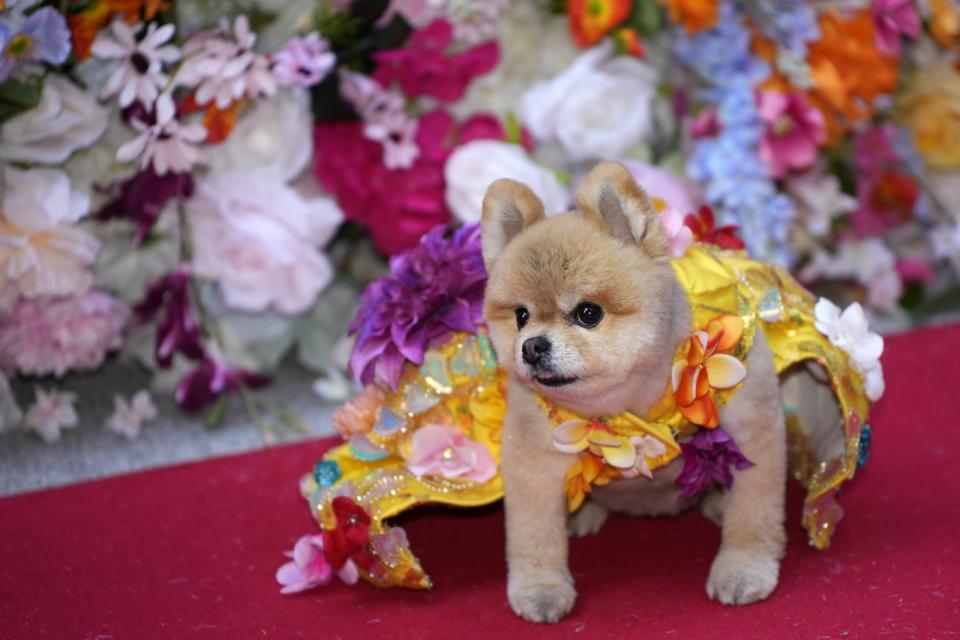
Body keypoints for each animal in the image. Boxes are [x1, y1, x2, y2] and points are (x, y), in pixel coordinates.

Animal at [480, 161, 840, 624]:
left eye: (588, 313)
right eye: (521, 316)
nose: (531, 347)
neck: (627, 406)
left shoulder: (753, 432)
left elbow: (753, 514)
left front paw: (744, 568)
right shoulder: (531, 461)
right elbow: (534, 535)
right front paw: (541, 588)